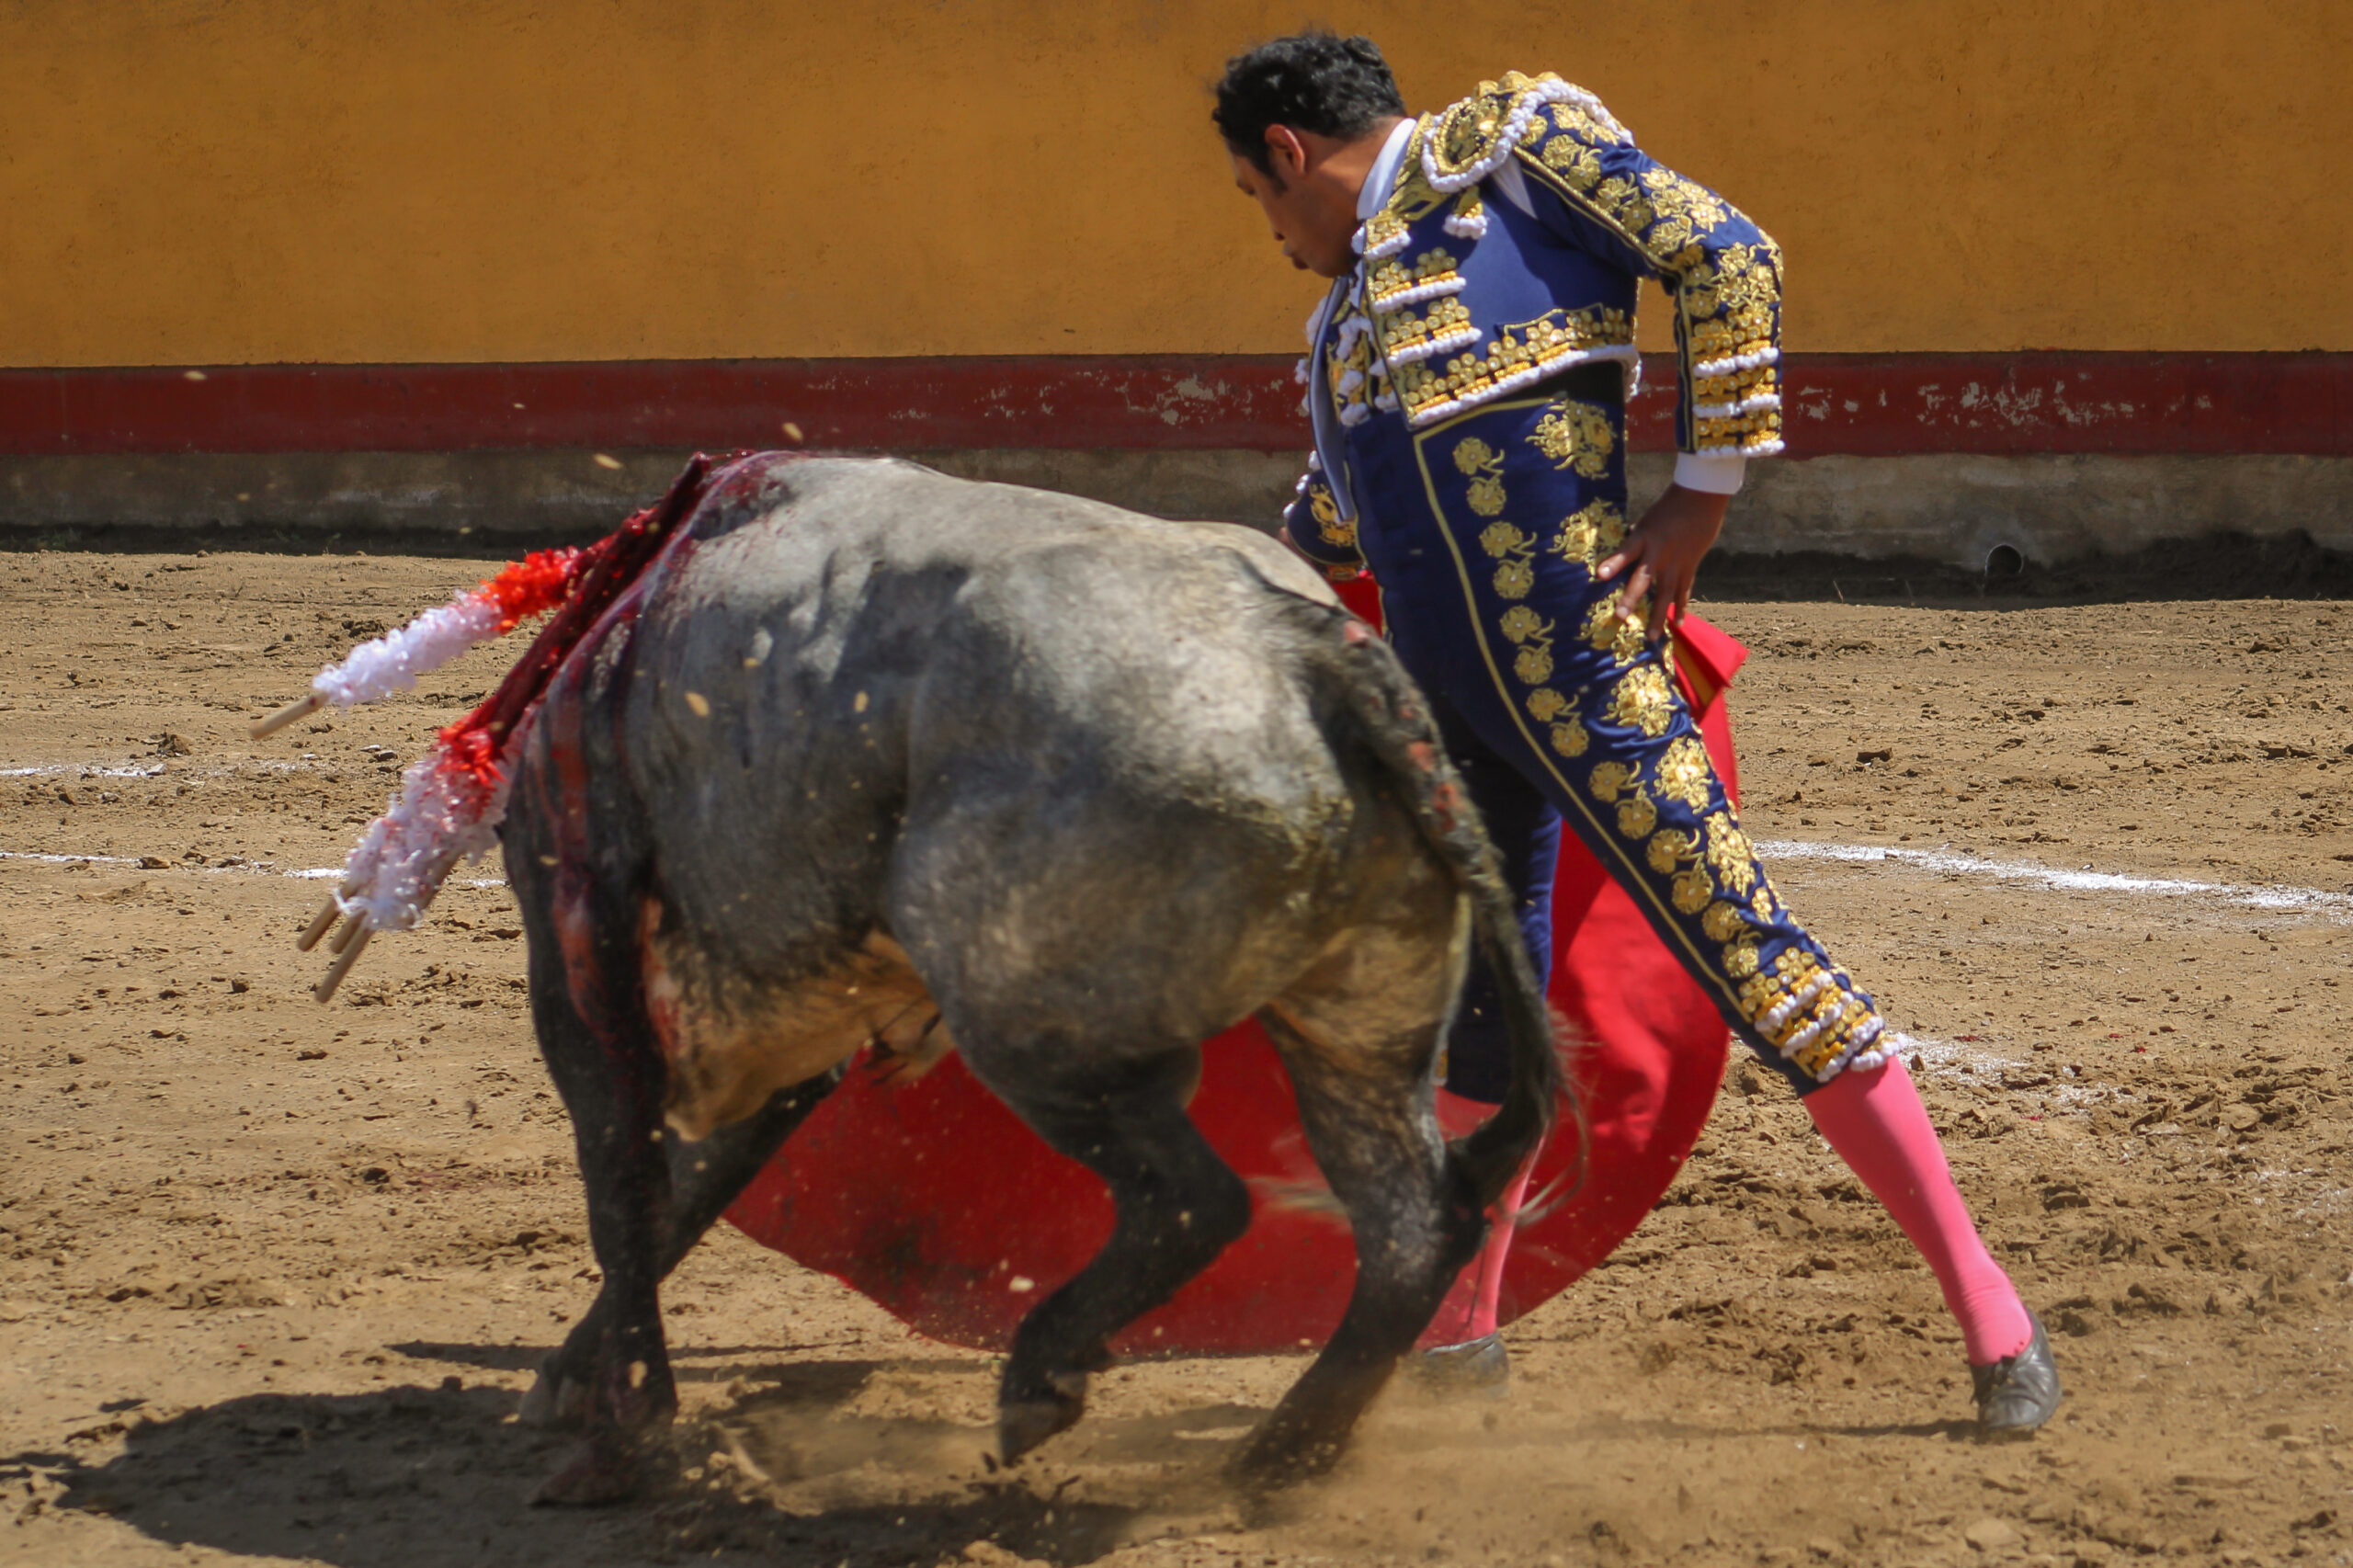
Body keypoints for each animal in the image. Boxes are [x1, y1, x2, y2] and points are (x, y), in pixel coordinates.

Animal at [496, 454, 1562, 1506]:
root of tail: (1299, 645)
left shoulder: (577, 935)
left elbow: (628, 1182)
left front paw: (620, 1430)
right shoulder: (810, 1014)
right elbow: (697, 1181)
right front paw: (575, 1378)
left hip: (1029, 1030)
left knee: (1195, 1198)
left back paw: (1045, 1380)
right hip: (1364, 1019)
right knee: (1410, 1224)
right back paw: (1283, 1451)